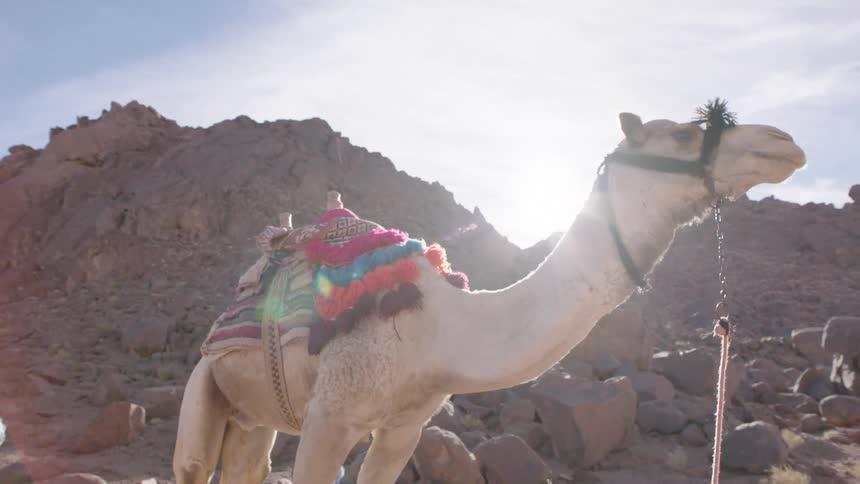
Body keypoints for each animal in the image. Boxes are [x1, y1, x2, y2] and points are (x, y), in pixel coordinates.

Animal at [173, 104, 806, 483]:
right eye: (684, 131)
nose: (784, 142)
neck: (441, 330)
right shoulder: (330, 414)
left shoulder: (402, 429)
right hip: (208, 383)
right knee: (195, 464)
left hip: (255, 415)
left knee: (246, 465)